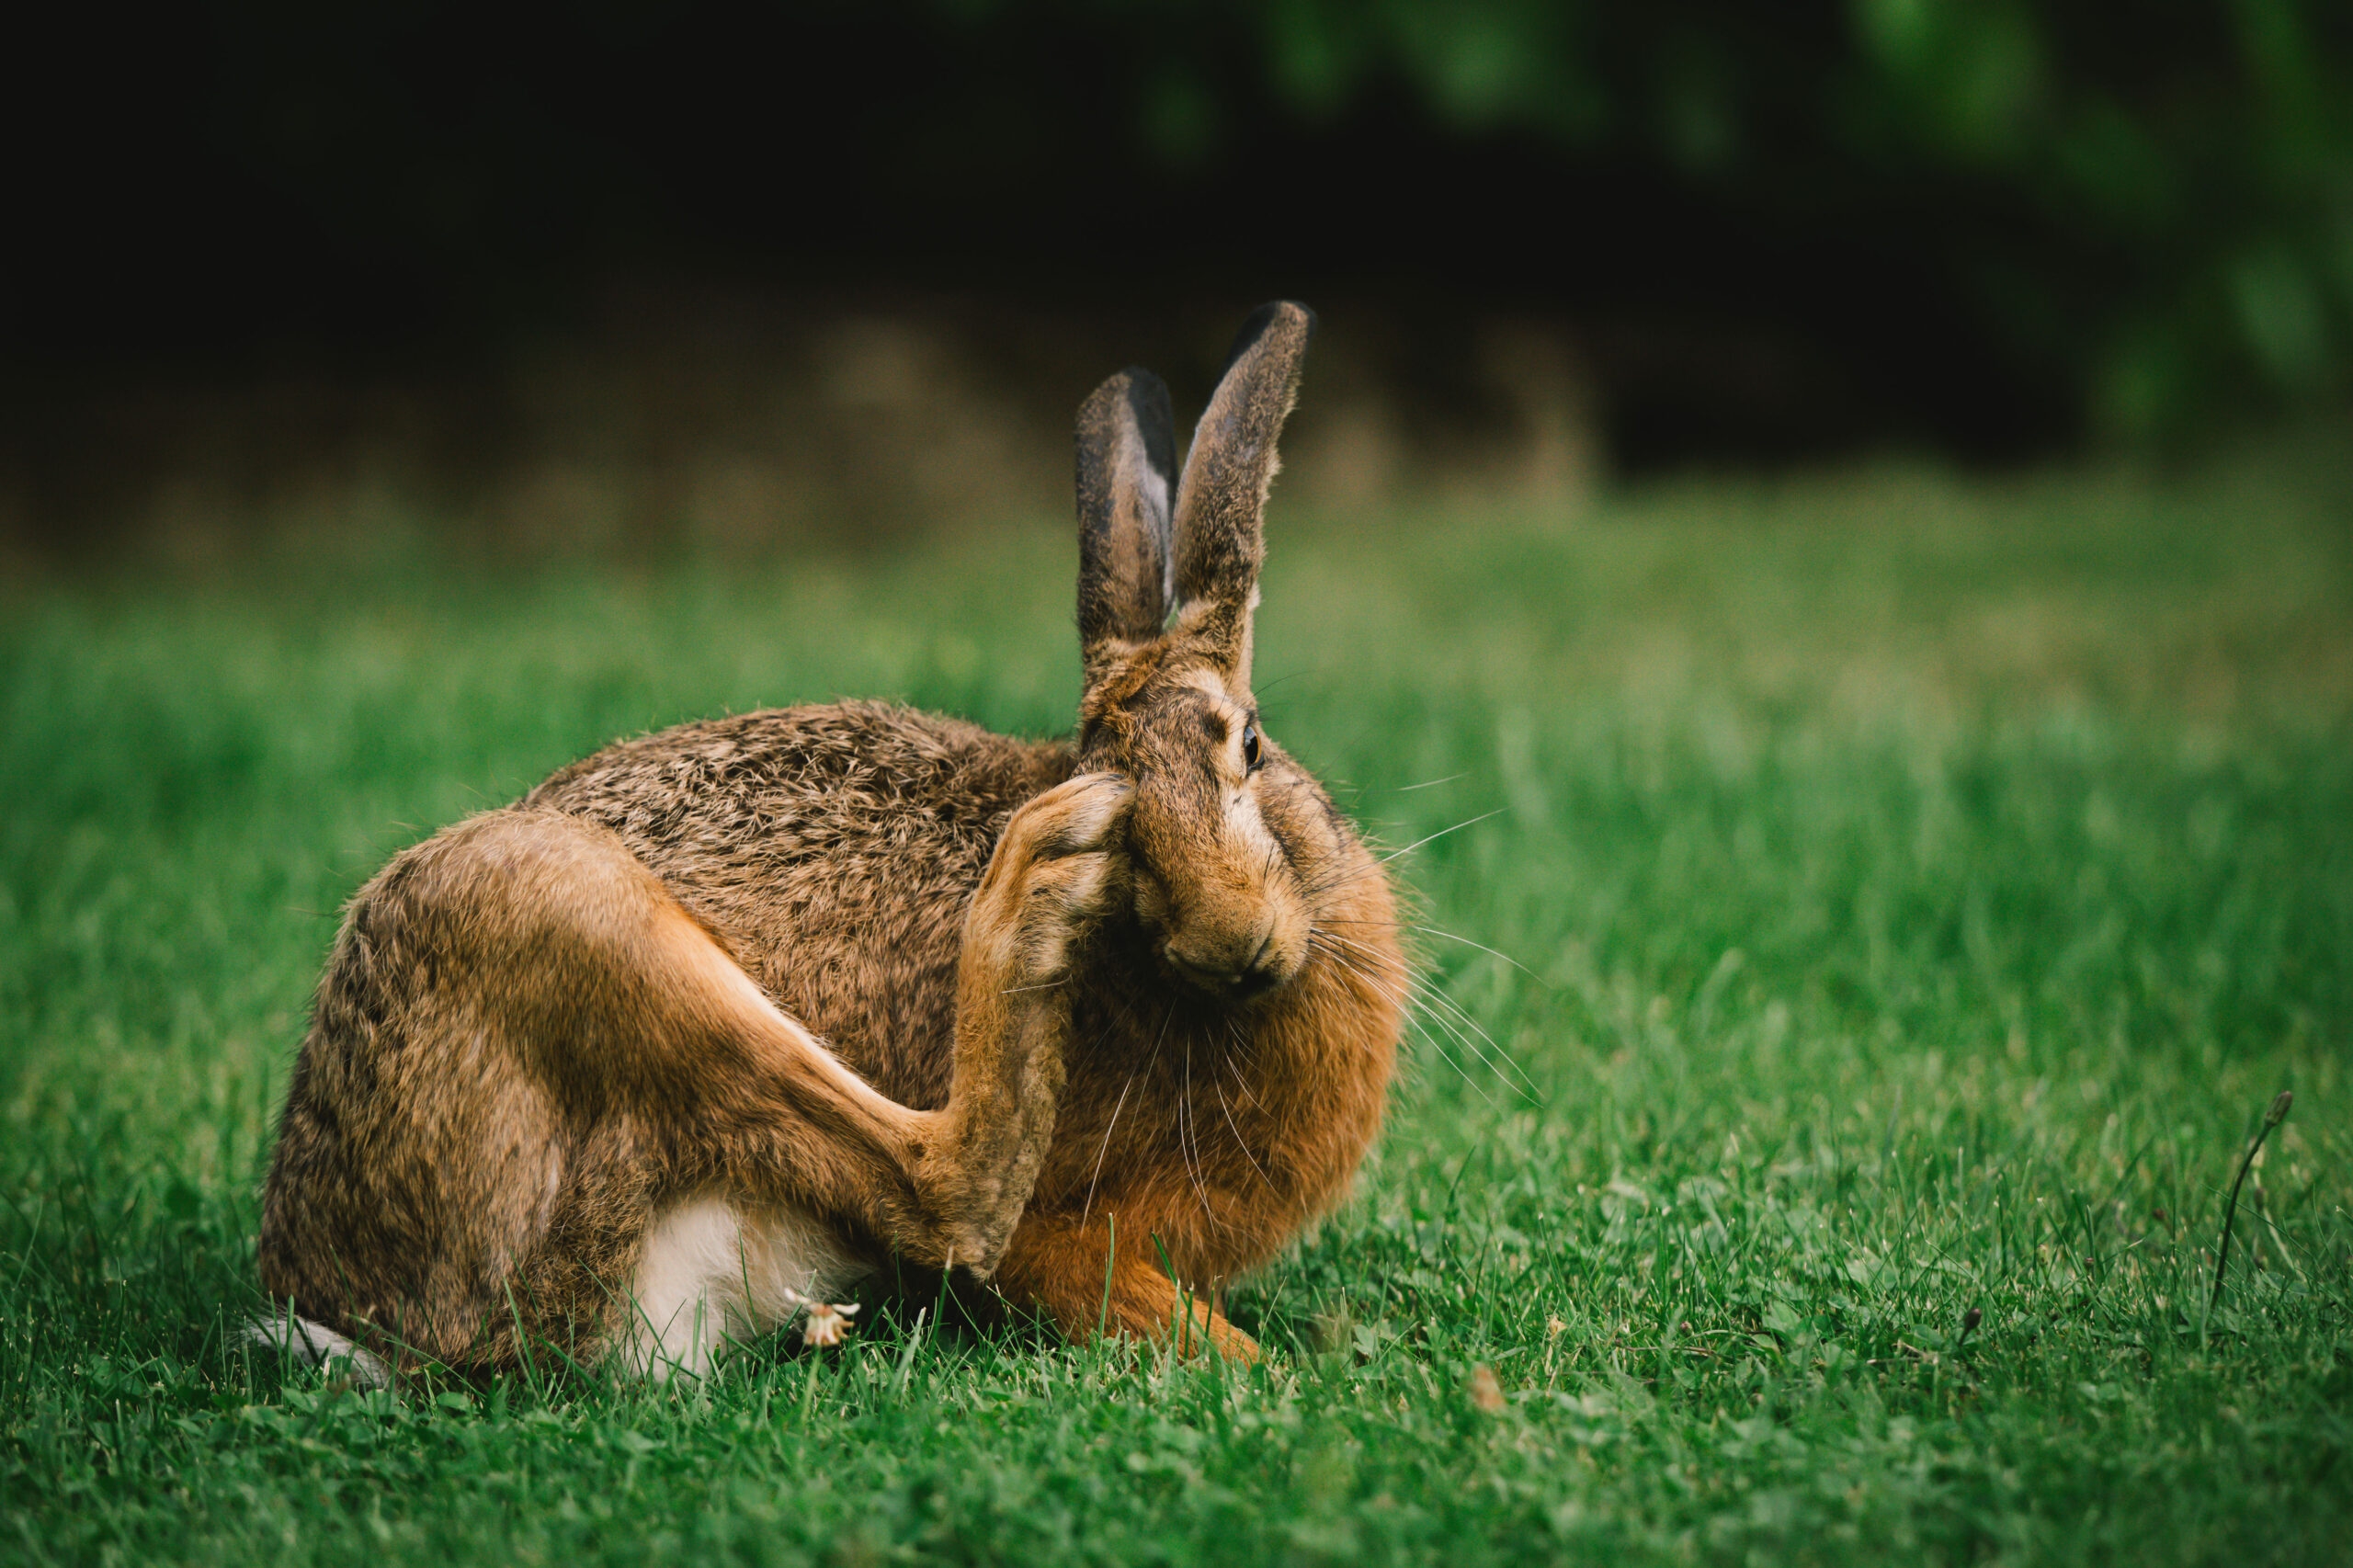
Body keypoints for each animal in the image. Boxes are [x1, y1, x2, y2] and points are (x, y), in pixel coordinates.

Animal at [254, 301, 1405, 1379]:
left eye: (1249, 743)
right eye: (1116, 802)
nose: (1230, 942)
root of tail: (351, 1304)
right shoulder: (1067, 1230)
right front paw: (1270, 1370)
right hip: (557, 908)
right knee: (945, 1194)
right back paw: (1030, 895)